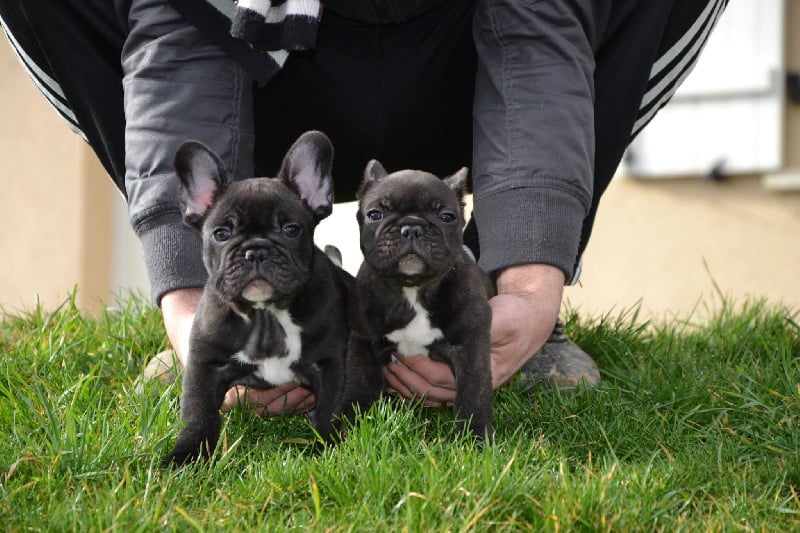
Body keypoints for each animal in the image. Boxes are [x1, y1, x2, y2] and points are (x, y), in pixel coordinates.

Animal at [162, 131, 350, 464]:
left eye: (291, 229)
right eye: (221, 234)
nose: (256, 250)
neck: (266, 314)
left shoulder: (330, 365)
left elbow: (330, 410)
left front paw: (326, 447)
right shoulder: (204, 366)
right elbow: (198, 413)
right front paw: (186, 456)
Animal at [338, 160, 494, 438]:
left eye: (446, 217)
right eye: (375, 214)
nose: (412, 228)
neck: (412, 290)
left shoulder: (471, 345)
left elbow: (474, 391)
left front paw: (474, 437)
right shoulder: (363, 342)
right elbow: (358, 384)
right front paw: (342, 429)